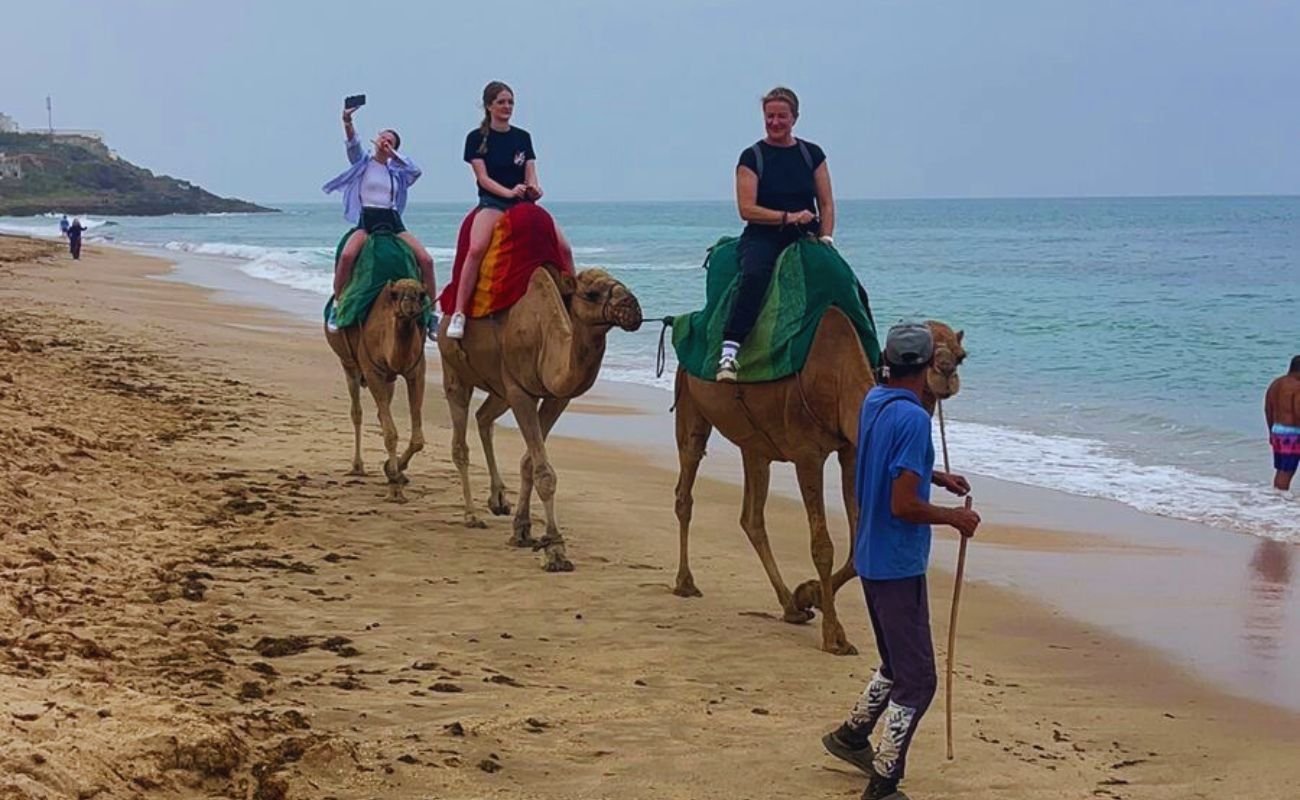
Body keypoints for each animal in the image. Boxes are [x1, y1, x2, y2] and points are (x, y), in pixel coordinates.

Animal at [325, 275, 431, 499]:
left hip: (388, 379)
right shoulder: (372, 371)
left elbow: (417, 439)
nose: (410, 304)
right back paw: (357, 467)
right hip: (349, 365)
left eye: (422, 294)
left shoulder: (416, 372)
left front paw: (395, 470)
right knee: (357, 412)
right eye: (395, 294)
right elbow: (390, 433)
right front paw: (395, 487)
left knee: (381, 413)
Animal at [439, 266, 642, 572]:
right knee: (460, 441)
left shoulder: (555, 396)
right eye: (592, 293)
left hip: (499, 389)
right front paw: (556, 550)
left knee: (484, 417)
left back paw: (498, 499)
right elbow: (543, 471)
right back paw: (471, 516)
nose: (634, 308)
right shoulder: (520, 391)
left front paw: (522, 530)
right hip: (454, 369)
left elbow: (528, 462)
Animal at [670, 309, 967, 653]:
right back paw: (685, 583)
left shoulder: (852, 451)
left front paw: (809, 594)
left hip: (754, 444)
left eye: (961, 356)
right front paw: (834, 635)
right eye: (926, 355)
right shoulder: (807, 455)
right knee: (686, 489)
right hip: (690, 403)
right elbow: (822, 546)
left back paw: (790, 606)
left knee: (751, 517)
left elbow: (857, 547)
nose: (945, 372)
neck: (839, 380)